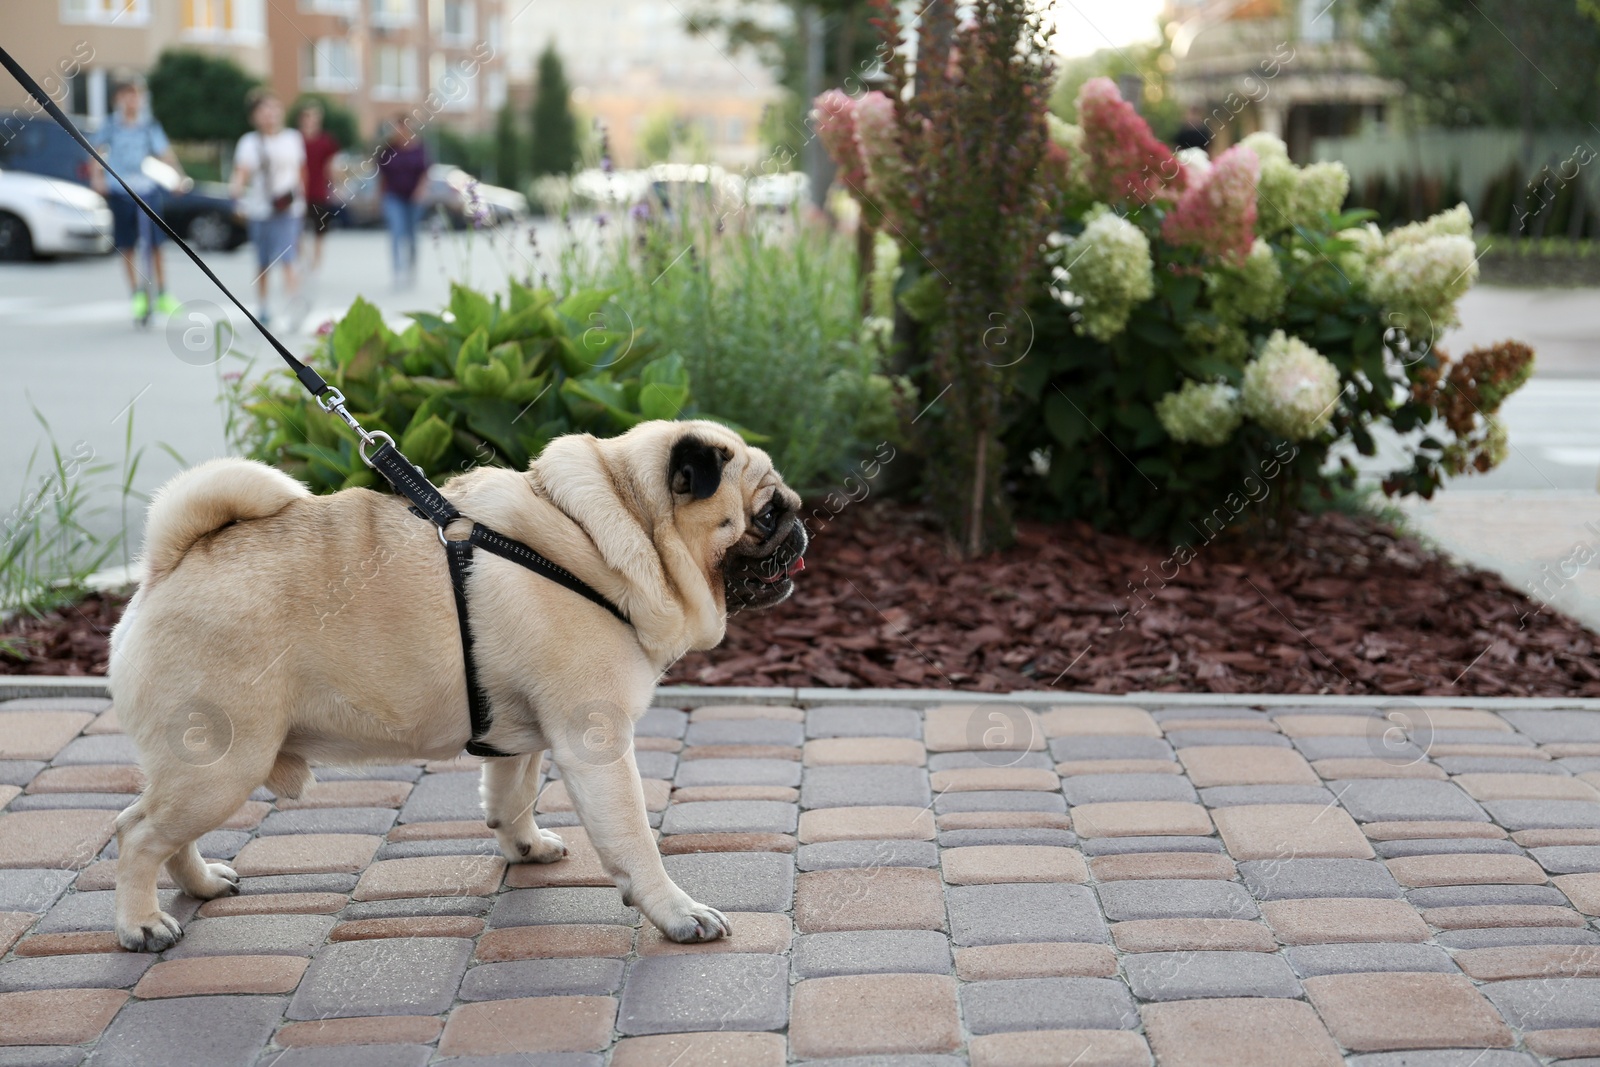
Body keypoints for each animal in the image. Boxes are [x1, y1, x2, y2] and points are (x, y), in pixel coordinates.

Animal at [111, 415, 806, 953]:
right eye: (766, 512)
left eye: (785, 508)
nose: (801, 526)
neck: (604, 536)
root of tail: (169, 564)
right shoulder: (596, 740)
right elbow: (633, 837)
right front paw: (677, 912)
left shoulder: (521, 729)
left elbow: (512, 791)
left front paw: (523, 845)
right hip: (224, 762)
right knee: (136, 834)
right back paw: (143, 924)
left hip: (204, 766)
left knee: (155, 829)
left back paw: (200, 884)